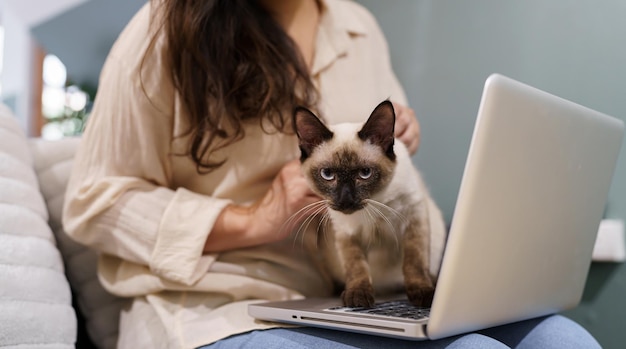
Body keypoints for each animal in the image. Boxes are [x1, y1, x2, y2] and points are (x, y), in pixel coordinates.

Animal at [292, 99, 444, 306]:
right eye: (327, 174)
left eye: (365, 173)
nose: (346, 200)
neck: (375, 203)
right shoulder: (346, 233)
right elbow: (356, 267)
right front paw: (358, 297)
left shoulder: (414, 216)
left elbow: (414, 261)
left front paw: (423, 294)